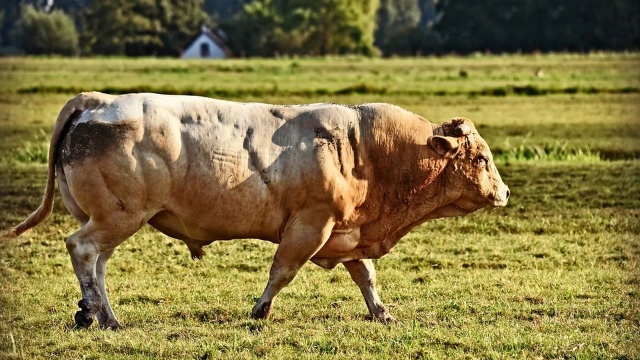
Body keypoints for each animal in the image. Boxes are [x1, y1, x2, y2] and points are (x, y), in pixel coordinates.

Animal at [1, 91, 510, 328]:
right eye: (482, 159)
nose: (504, 193)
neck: (366, 150)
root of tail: (98, 101)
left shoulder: (346, 231)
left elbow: (366, 276)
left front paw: (381, 313)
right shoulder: (312, 224)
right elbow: (282, 270)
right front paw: (260, 310)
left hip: (113, 218)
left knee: (97, 262)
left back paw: (103, 313)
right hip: (118, 216)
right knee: (83, 251)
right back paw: (94, 313)